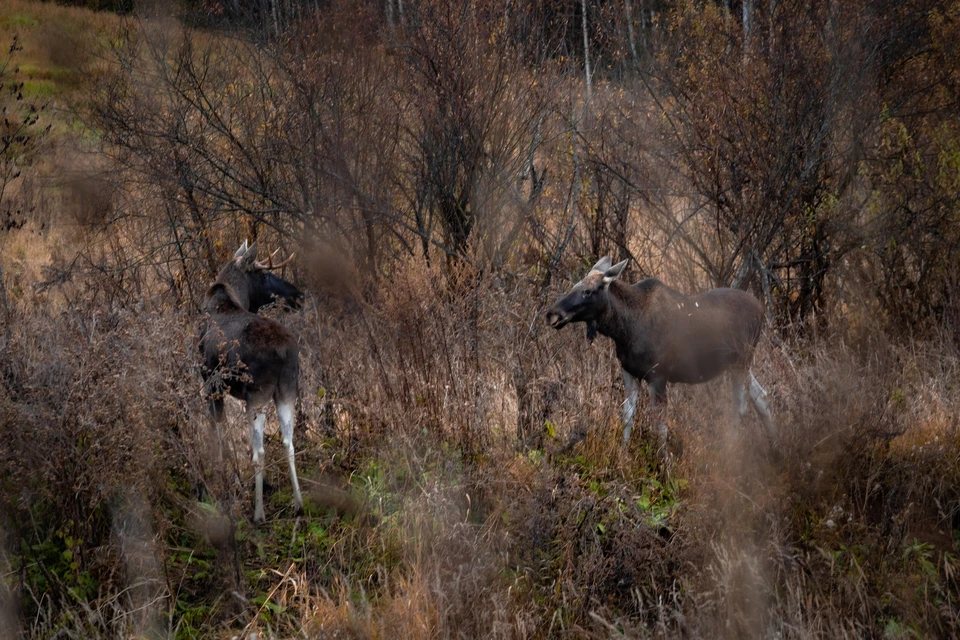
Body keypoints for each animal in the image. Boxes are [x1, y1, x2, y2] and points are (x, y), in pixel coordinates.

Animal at [202, 242, 304, 524]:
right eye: (266, 274)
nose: (298, 295)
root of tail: (283, 351)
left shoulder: (210, 384)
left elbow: (220, 432)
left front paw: (227, 479)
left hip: (258, 395)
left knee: (260, 451)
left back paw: (259, 513)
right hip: (287, 389)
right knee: (288, 442)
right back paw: (299, 503)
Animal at [544, 258, 776, 458]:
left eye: (587, 291)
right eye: (574, 286)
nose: (552, 314)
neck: (623, 329)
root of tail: (762, 310)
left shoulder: (658, 376)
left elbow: (660, 426)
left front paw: (664, 463)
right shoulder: (629, 371)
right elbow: (627, 416)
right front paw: (623, 454)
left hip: (741, 361)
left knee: (740, 406)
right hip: (740, 364)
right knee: (761, 397)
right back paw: (776, 448)